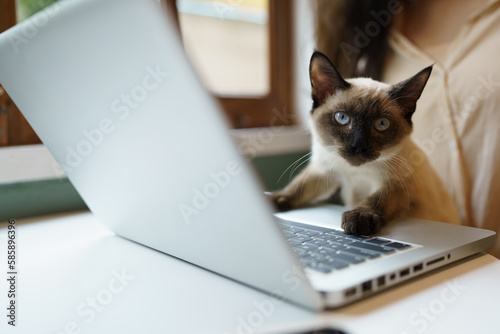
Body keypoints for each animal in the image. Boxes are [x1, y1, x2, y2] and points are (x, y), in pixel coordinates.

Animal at [270, 51, 460, 235]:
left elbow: (375, 199)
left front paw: (359, 218)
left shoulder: (398, 185)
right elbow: (298, 187)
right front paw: (273, 199)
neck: (355, 172)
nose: (358, 145)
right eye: (342, 118)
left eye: (381, 124)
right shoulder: (326, 171)